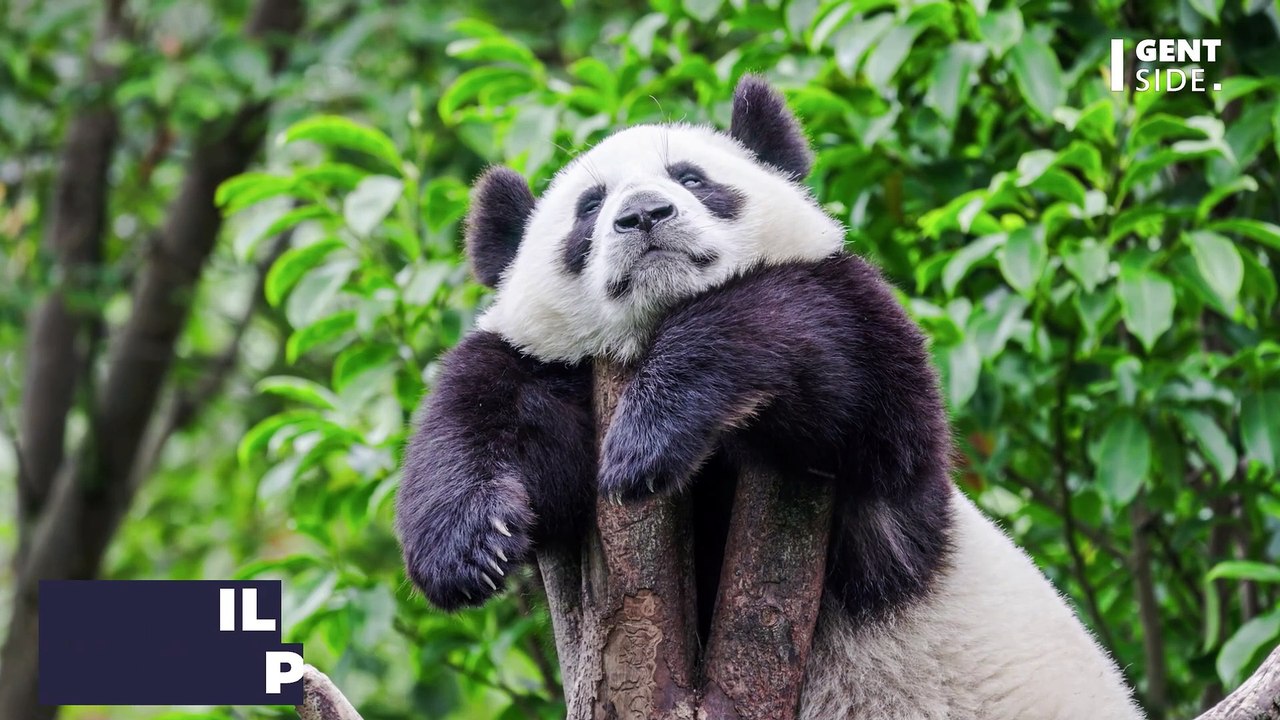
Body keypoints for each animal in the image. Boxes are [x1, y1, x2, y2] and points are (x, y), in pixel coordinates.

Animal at [396, 76, 1143, 719]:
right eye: (589, 208)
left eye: (691, 178)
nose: (643, 214)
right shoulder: (559, 369)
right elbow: (482, 410)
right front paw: (467, 548)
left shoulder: (869, 370)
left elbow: (818, 340)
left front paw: (648, 440)